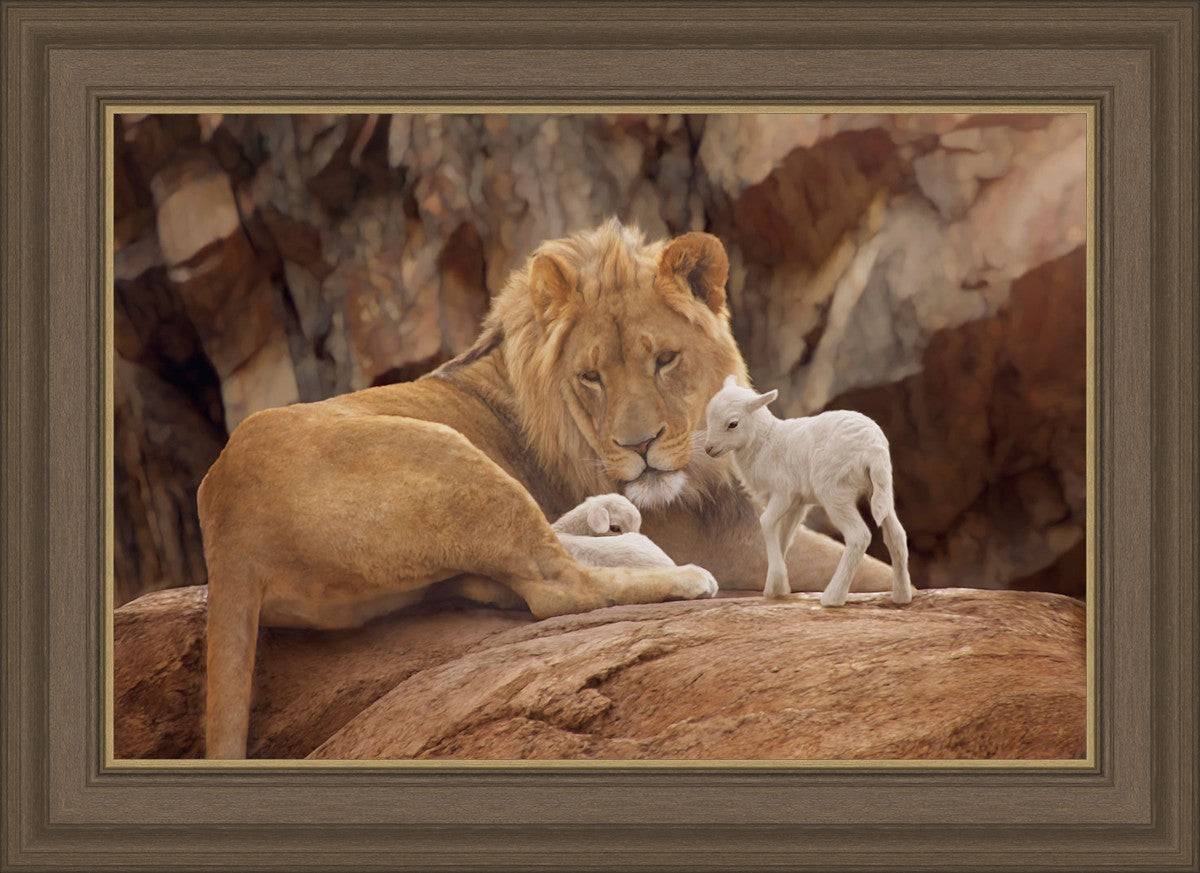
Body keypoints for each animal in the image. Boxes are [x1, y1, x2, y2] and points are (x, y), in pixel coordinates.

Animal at [703, 375, 913, 607]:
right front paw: (776, 587)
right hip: (880, 488)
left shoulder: (783, 492)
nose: (708, 449)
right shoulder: (797, 502)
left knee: (859, 536)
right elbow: (784, 535)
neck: (764, 441)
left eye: (733, 424)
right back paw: (901, 596)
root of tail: (873, 449)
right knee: (896, 534)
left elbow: (766, 522)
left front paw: (777, 583)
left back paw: (833, 597)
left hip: (834, 491)